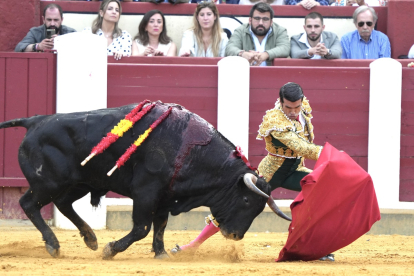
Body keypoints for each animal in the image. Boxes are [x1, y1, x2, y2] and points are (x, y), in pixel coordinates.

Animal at [0, 101, 288, 258]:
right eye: (246, 201)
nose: (235, 235)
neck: (190, 148)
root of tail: (35, 120)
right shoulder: (146, 192)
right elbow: (142, 227)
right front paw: (111, 249)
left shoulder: (165, 196)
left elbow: (160, 226)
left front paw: (160, 253)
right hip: (47, 184)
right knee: (29, 204)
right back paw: (54, 245)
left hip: (80, 182)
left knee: (63, 204)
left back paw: (90, 238)